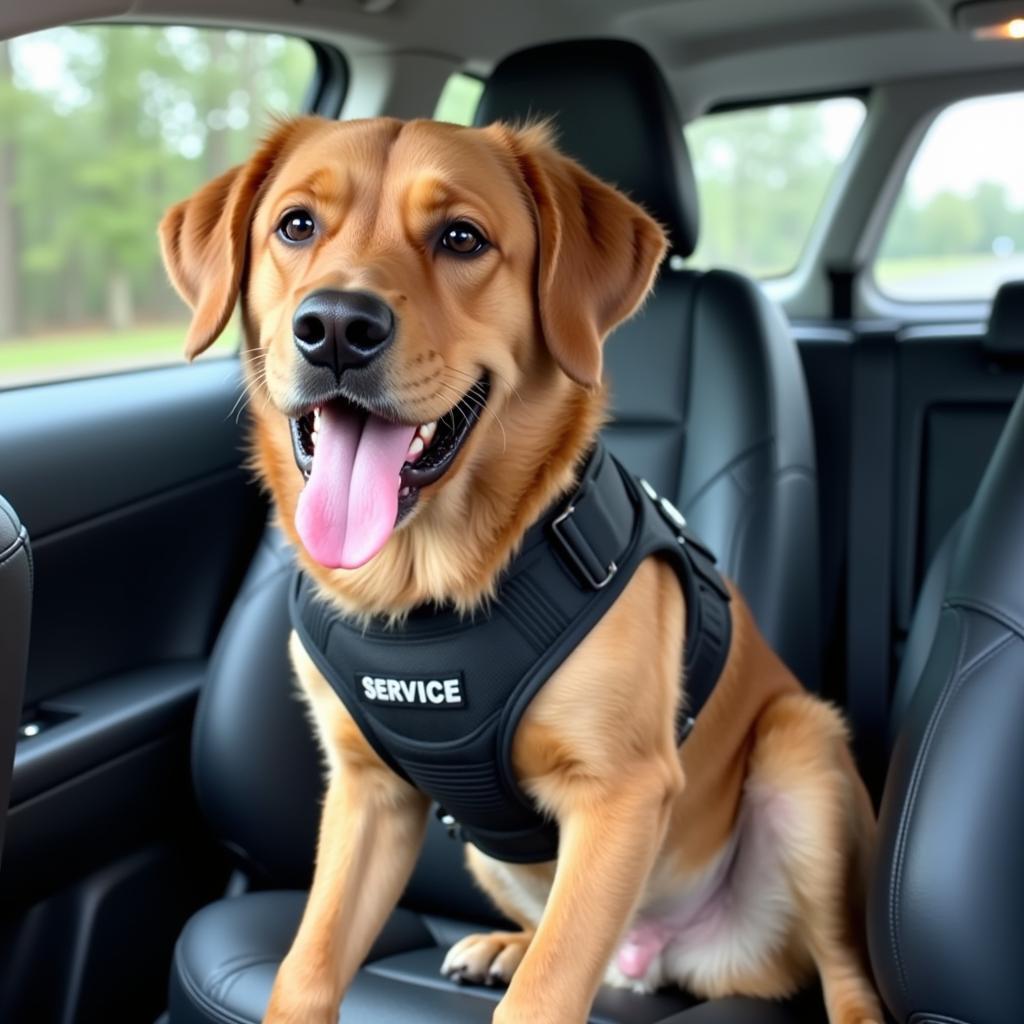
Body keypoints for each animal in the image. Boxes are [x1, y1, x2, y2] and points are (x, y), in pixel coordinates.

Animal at [159, 116, 880, 1019]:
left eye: (461, 238)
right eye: (296, 225)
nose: (335, 328)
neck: (423, 592)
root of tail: (662, 960)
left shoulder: (620, 795)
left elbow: (546, 992)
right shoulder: (368, 795)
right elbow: (307, 969)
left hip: (801, 754)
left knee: (845, 965)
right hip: (491, 855)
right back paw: (505, 944)